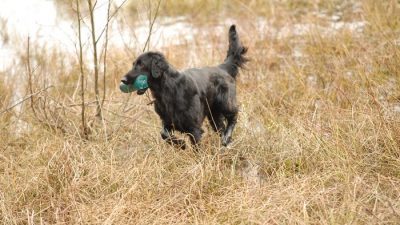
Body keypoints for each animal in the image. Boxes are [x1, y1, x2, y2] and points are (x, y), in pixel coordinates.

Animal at [120, 25, 248, 148]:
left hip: (225, 103)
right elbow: (164, 134)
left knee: (233, 117)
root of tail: (222, 67)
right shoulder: (167, 121)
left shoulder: (194, 128)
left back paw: (226, 137)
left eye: (141, 65)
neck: (167, 91)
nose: (123, 80)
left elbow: (197, 147)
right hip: (214, 115)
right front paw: (180, 144)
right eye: (133, 64)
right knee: (221, 127)